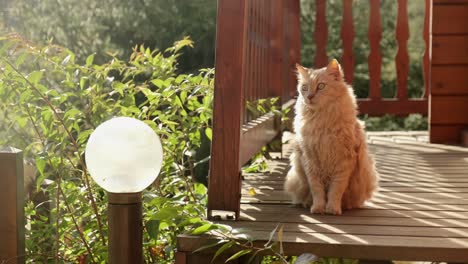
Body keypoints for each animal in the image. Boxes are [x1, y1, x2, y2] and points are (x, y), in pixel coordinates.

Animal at [284, 59, 378, 214]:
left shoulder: (344, 161)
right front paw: (318, 208)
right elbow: (317, 190)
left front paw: (333, 209)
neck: (322, 120)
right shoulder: (310, 160)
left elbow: (336, 190)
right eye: (304, 88)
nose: (309, 96)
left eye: (321, 86)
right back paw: (307, 203)